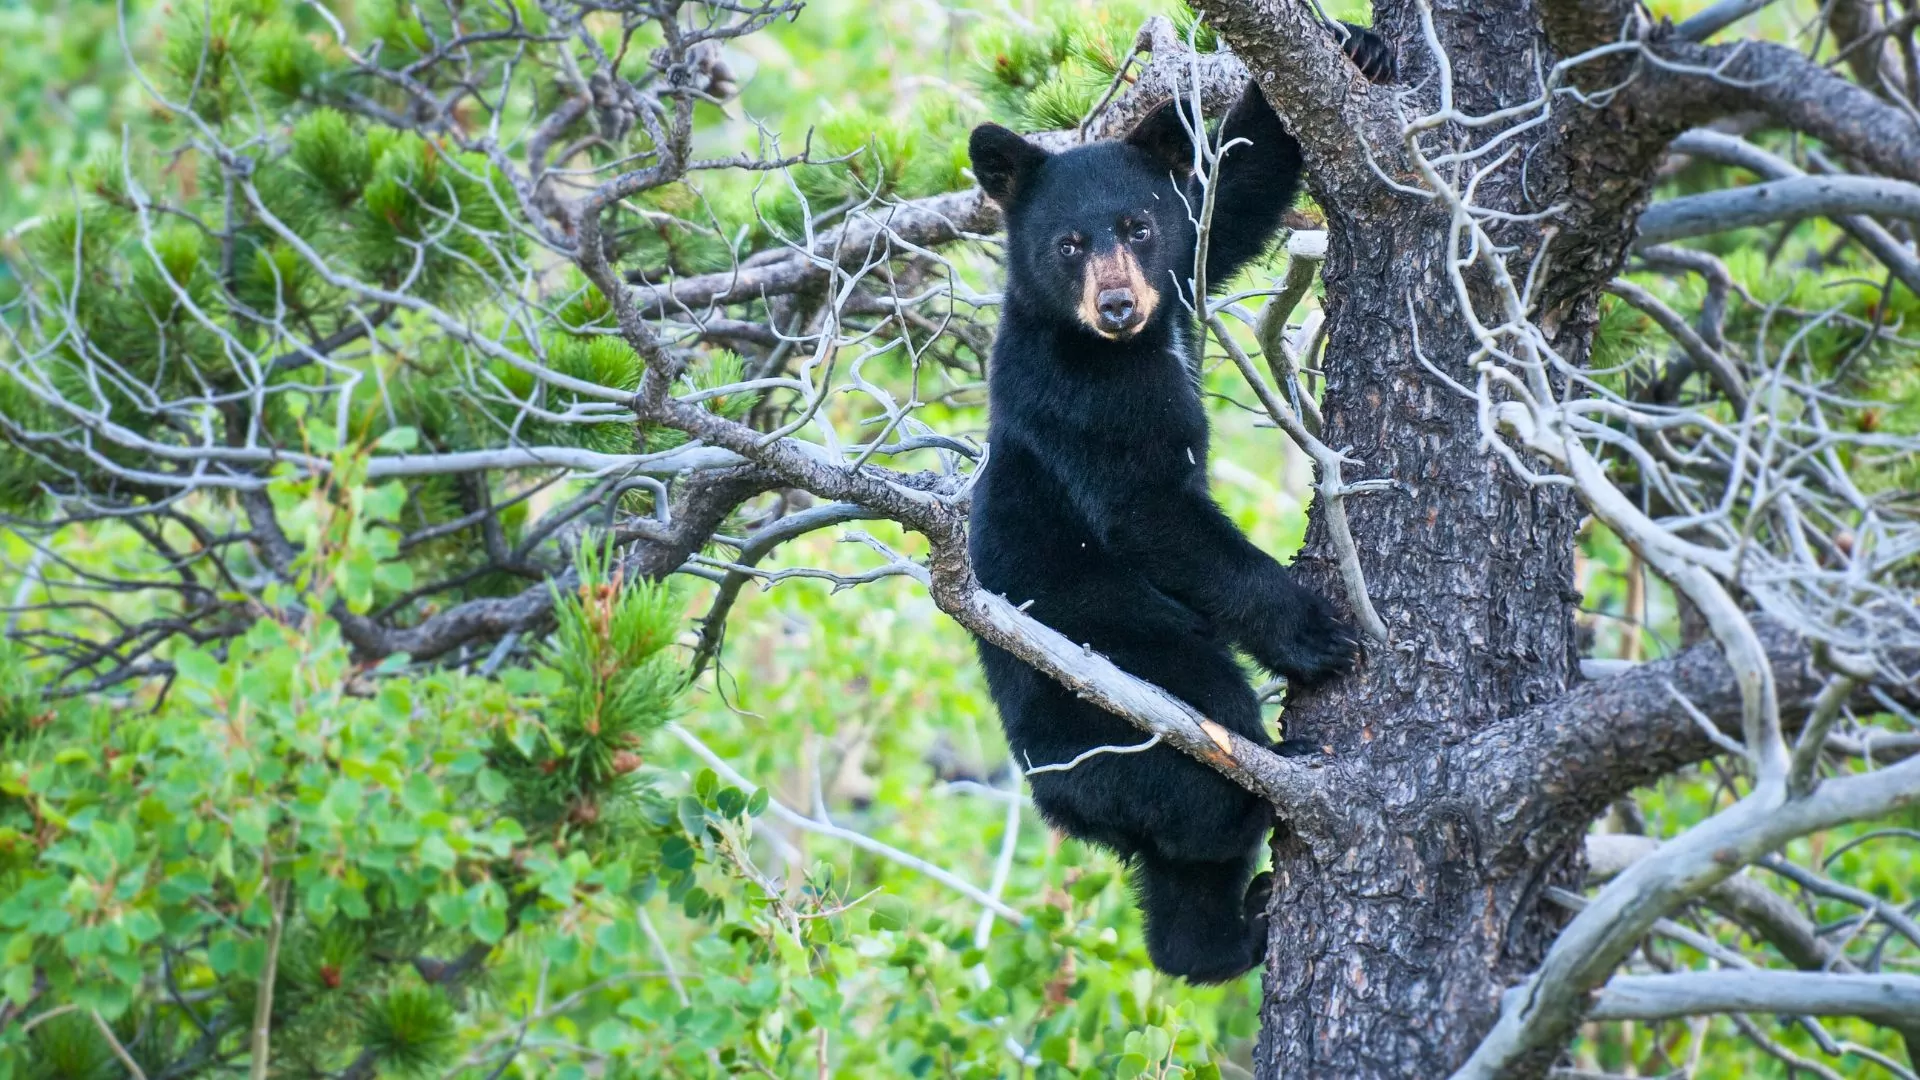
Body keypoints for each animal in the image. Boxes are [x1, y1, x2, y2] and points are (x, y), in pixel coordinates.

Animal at [965, 27, 1395, 984]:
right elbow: (1149, 509)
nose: (1120, 303)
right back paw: (1265, 776)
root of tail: (1065, 805)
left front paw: (1352, 50)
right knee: (1197, 750)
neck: (1115, 348)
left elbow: (1230, 200)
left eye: (1137, 225)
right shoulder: (1082, 396)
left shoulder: (1181, 287)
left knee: (1179, 882)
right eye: (1068, 243)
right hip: (1116, 663)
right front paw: (1314, 630)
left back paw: (1230, 934)